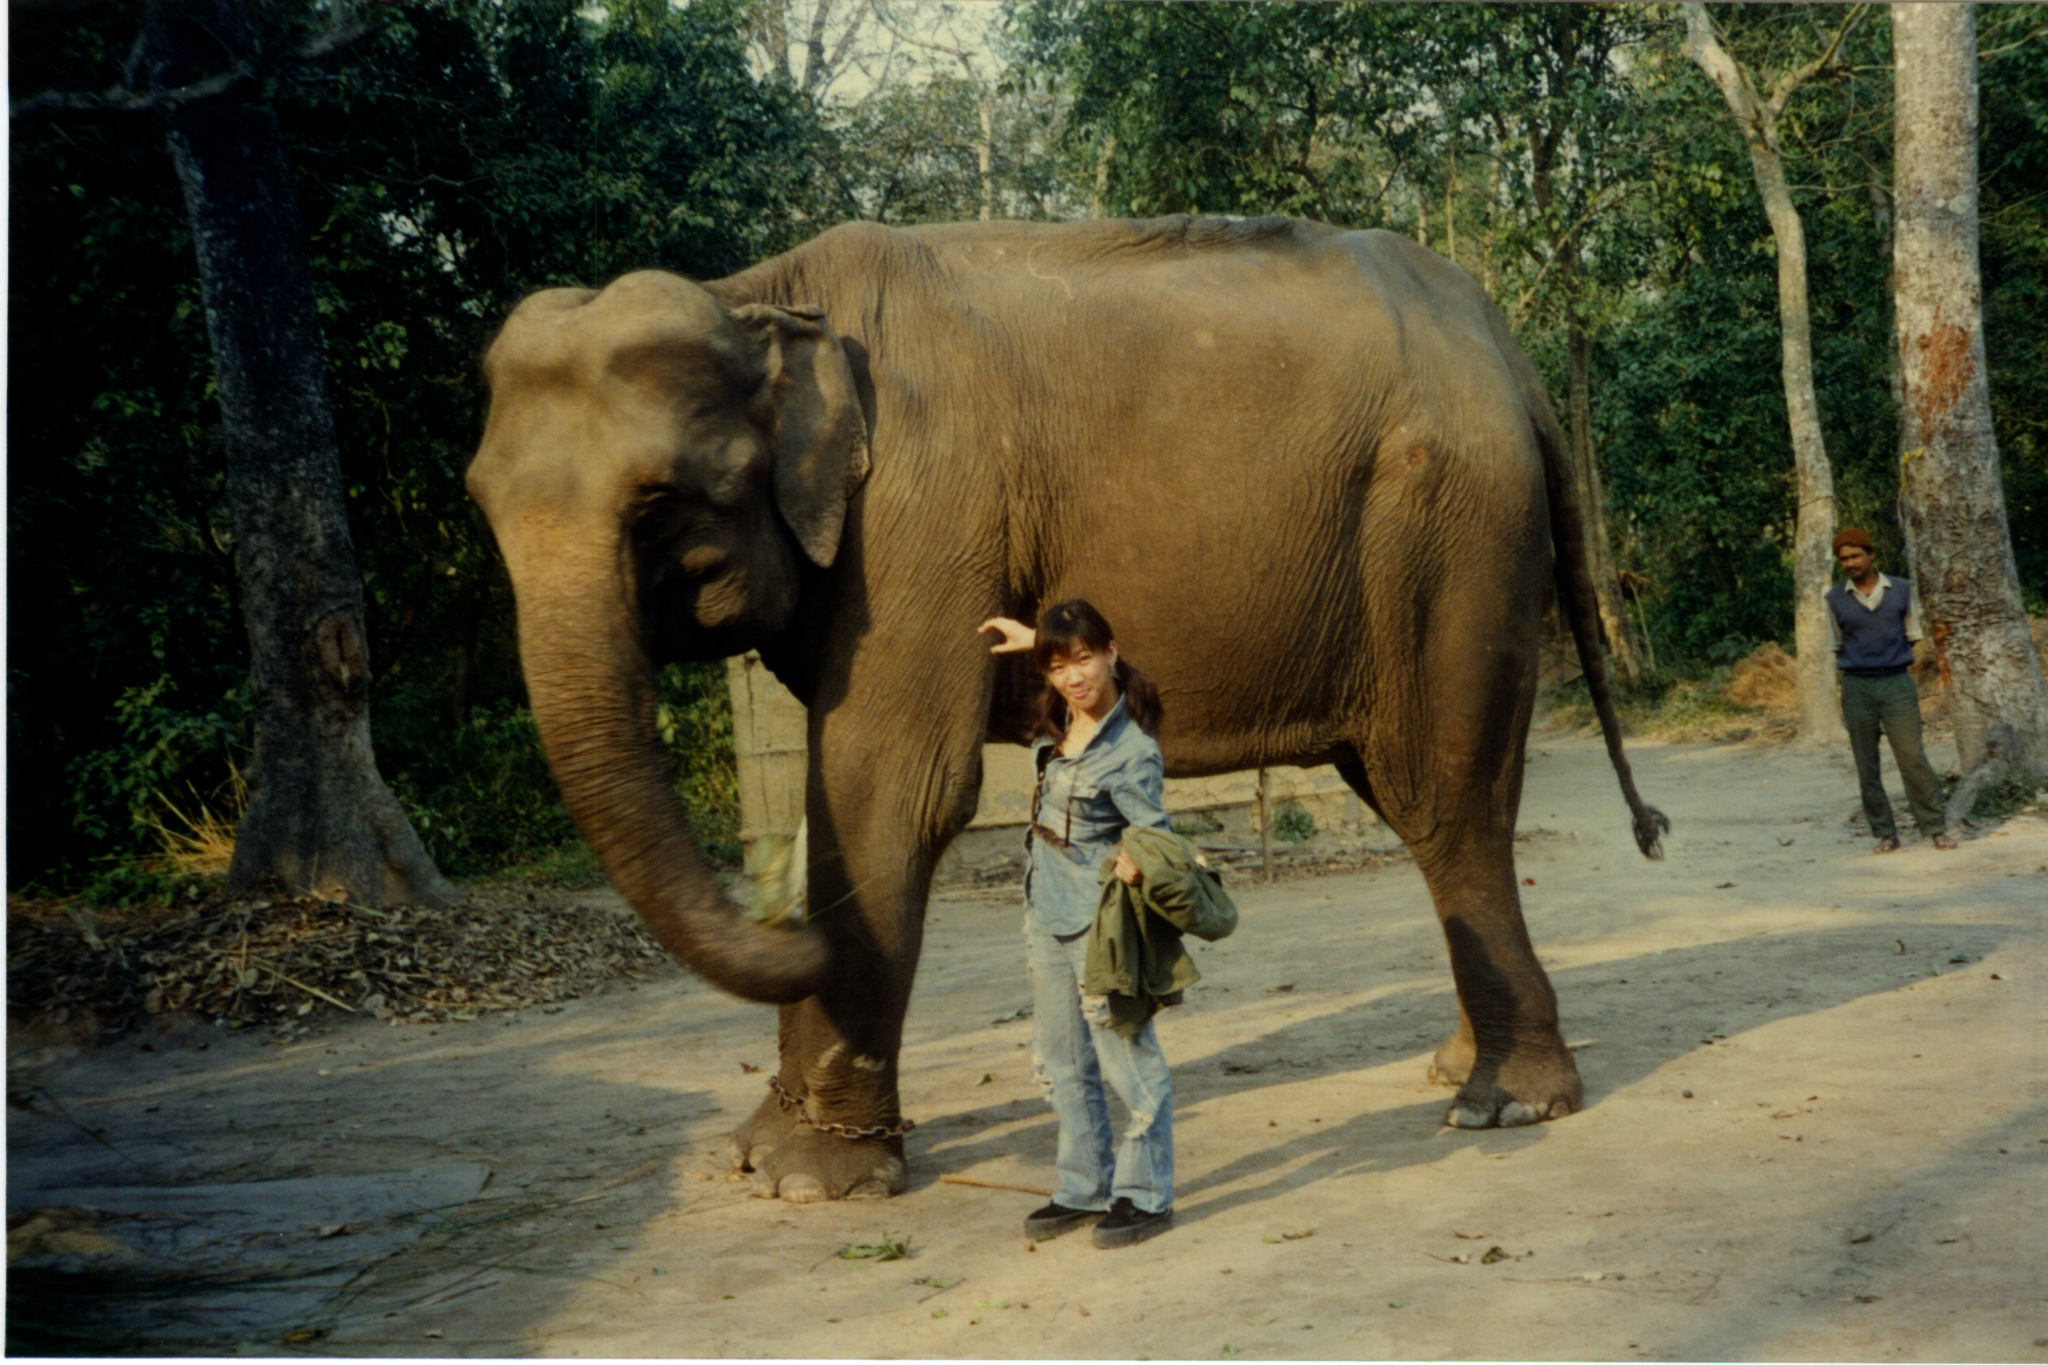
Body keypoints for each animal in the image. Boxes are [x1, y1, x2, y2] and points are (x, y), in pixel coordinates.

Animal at [471, 208, 1671, 1203]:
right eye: (481, 505)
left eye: (660, 504)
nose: (779, 917)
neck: (762, 293)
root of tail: (1504, 349)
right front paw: (764, 1157)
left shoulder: (921, 514)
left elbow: (891, 788)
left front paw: (816, 1180)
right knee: (1410, 793)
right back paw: (1459, 1066)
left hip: (1449, 535)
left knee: (1444, 794)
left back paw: (1501, 1101)